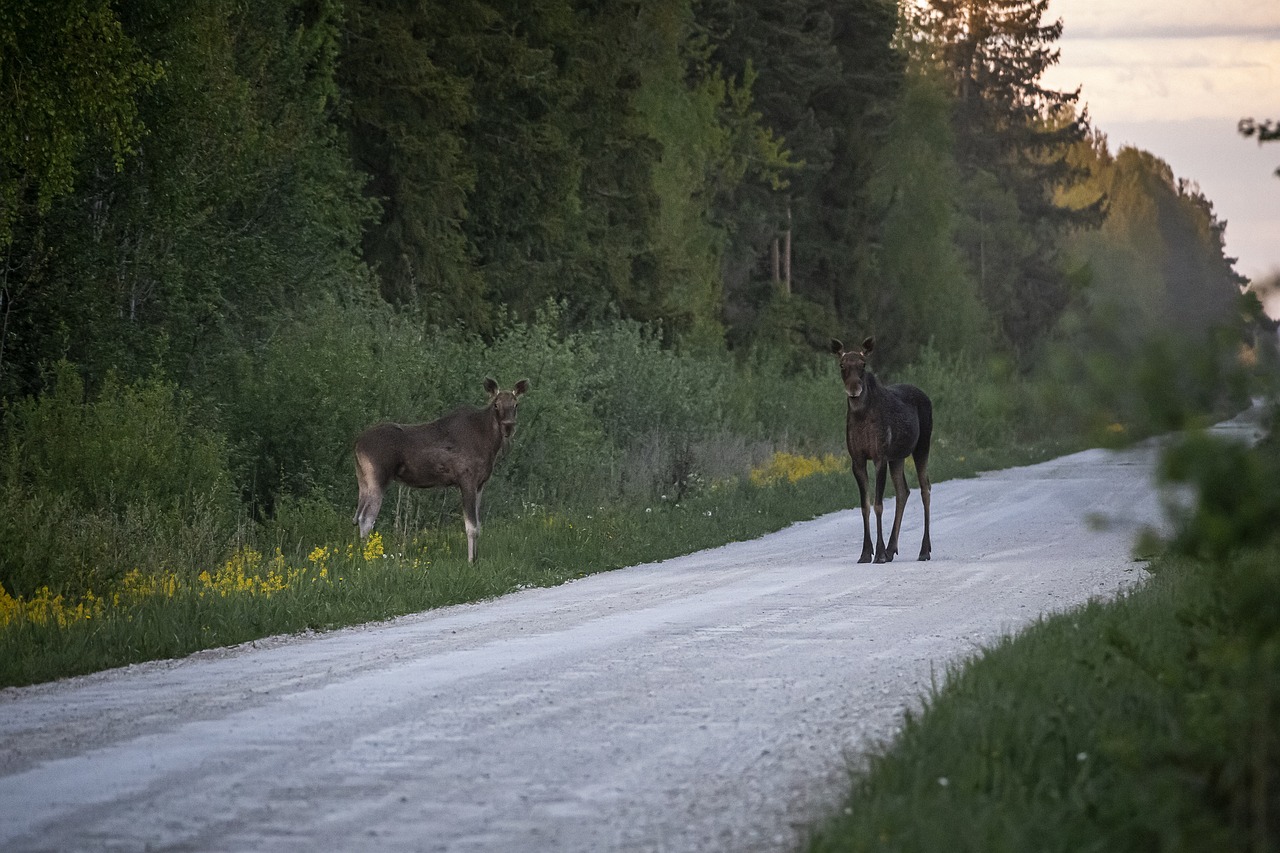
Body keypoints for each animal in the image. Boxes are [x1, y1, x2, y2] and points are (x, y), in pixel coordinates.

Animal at [353, 376, 527, 560]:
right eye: (496, 404)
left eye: (516, 404)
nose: (508, 426)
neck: (490, 443)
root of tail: (356, 444)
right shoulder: (467, 479)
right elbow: (471, 527)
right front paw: (470, 561)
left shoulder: (480, 484)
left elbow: (479, 526)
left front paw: (476, 558)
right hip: (378, 478)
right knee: (366, 518)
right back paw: (368, 557)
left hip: (363, 479)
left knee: (358, 517)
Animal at [829, 335, 931, 560]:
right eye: (842, 365)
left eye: (863, 364)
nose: (854, 389)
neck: (860, 416)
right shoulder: (857, 460)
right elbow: (864, 506)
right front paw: (866, 553)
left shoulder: (880, 456)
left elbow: (878, 505)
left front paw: (879, 554)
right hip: (898, 457)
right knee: (903, 491)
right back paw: (893, 548)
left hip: (922, 446)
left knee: (925, 488)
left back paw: (924, 550)